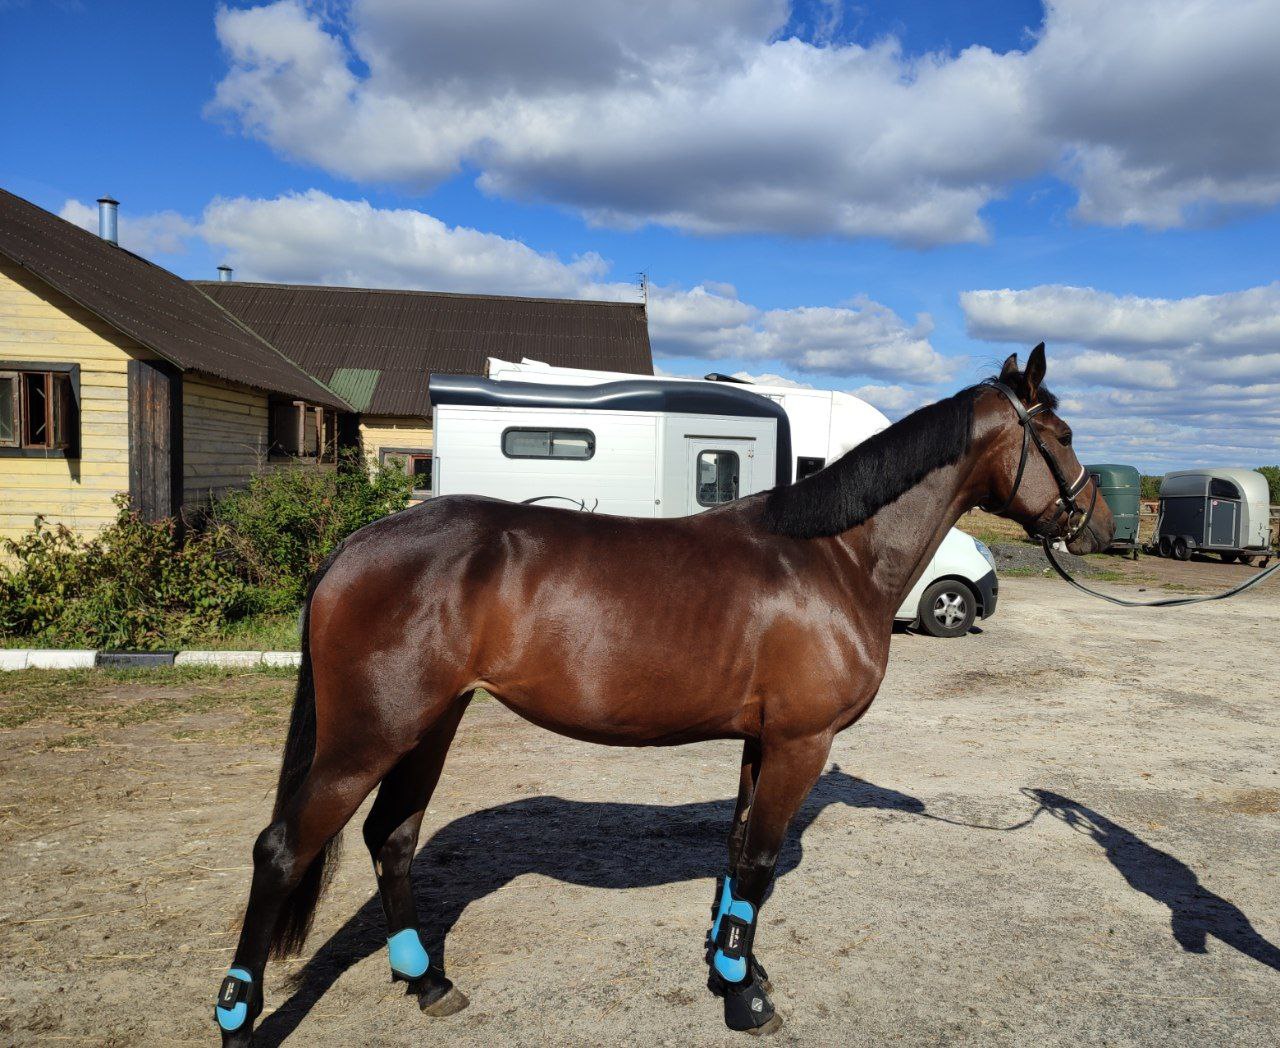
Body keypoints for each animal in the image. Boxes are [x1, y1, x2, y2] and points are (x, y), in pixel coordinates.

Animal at [209, 345, 1111, 1039]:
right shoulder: (801, 742)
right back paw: (238, 1019)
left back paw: (429, 981)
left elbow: (738, 856)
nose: (1096, 524)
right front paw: (746, 1001)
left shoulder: (762, 740)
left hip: (430, 723)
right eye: (1062, 434)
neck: (833, 558)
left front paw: (733, 970)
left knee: (391, 838)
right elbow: (760, 861)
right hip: (370, 733)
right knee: (282, 850)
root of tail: (356, 543)